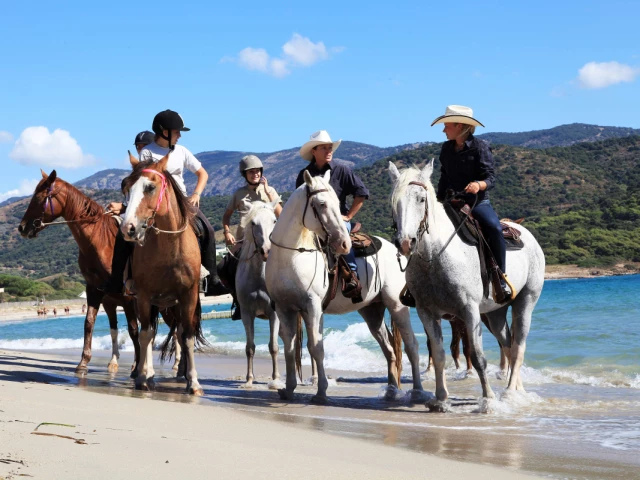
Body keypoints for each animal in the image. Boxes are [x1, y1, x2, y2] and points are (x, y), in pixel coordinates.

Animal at [18, 170, 141, 376]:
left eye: (39, 198)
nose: (22, 227)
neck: (103, 243)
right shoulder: (94, 290)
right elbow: (89, 323)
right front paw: (83, 362)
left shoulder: (129, 298)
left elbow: (134, 331)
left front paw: (138, 367)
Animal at [121, 153, 205, 395]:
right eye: (126, 187)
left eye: (150, 187)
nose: (128, 228)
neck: (170, 248)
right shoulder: (144, 296)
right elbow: (146, 335)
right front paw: (143, 377)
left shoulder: (188, 295)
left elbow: (187, 336)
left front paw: (193, 382)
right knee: (148, 334)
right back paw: (148, 373)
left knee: (179, 332)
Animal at [265, 170, 426, 403]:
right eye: (322, 204)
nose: (344, 244)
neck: (290, 257)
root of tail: (395, 250)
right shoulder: (284, 308)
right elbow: (289, 347)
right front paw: (288, 389)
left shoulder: (313, 307)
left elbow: (316, 347)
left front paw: (321, 392)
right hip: (372, 311)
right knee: (388, 349)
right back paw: (391, 391)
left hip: (397, 305)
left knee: (411, 345)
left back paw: (418, 392)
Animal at [389, 162, 545, 410]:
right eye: (394, 201)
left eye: (421, 199)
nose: (405, 242)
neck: (435, 257)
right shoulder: (426, 312)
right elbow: (439, 355)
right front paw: (441, 399)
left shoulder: (469, 311)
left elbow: (478, 358)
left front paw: (488, 400)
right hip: (495, 313)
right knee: (508, 345)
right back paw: (517, 389)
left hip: (526, 302)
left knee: (519, 346)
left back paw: (510, 393)